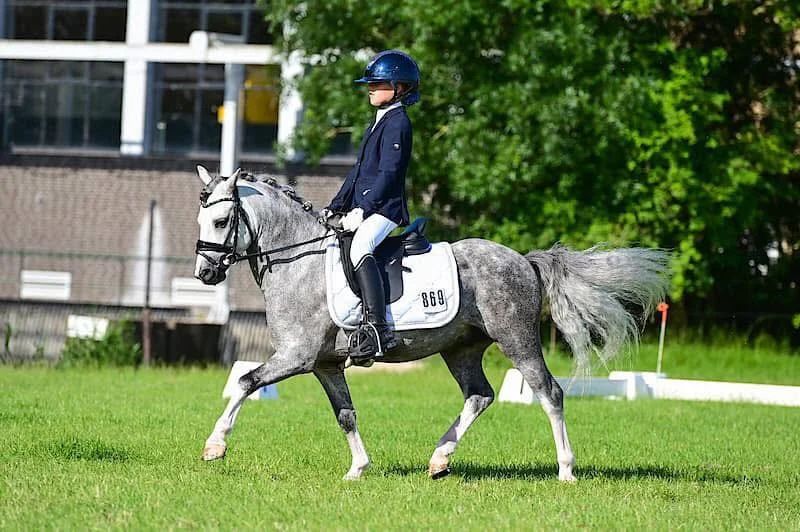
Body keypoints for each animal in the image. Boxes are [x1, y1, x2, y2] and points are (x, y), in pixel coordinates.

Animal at [193, 165, 669, 482]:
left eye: (221, 220)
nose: (205, 274)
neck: (299, 259)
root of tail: (523, 260)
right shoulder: (324, 364)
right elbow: (345, 414)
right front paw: (358, 469)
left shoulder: (297, 355)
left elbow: (246, 381)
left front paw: (215, 446)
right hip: (461, 348)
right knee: (480, 395)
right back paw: (440, 459)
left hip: (516, 338)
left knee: (548, 393)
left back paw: (566, 470)